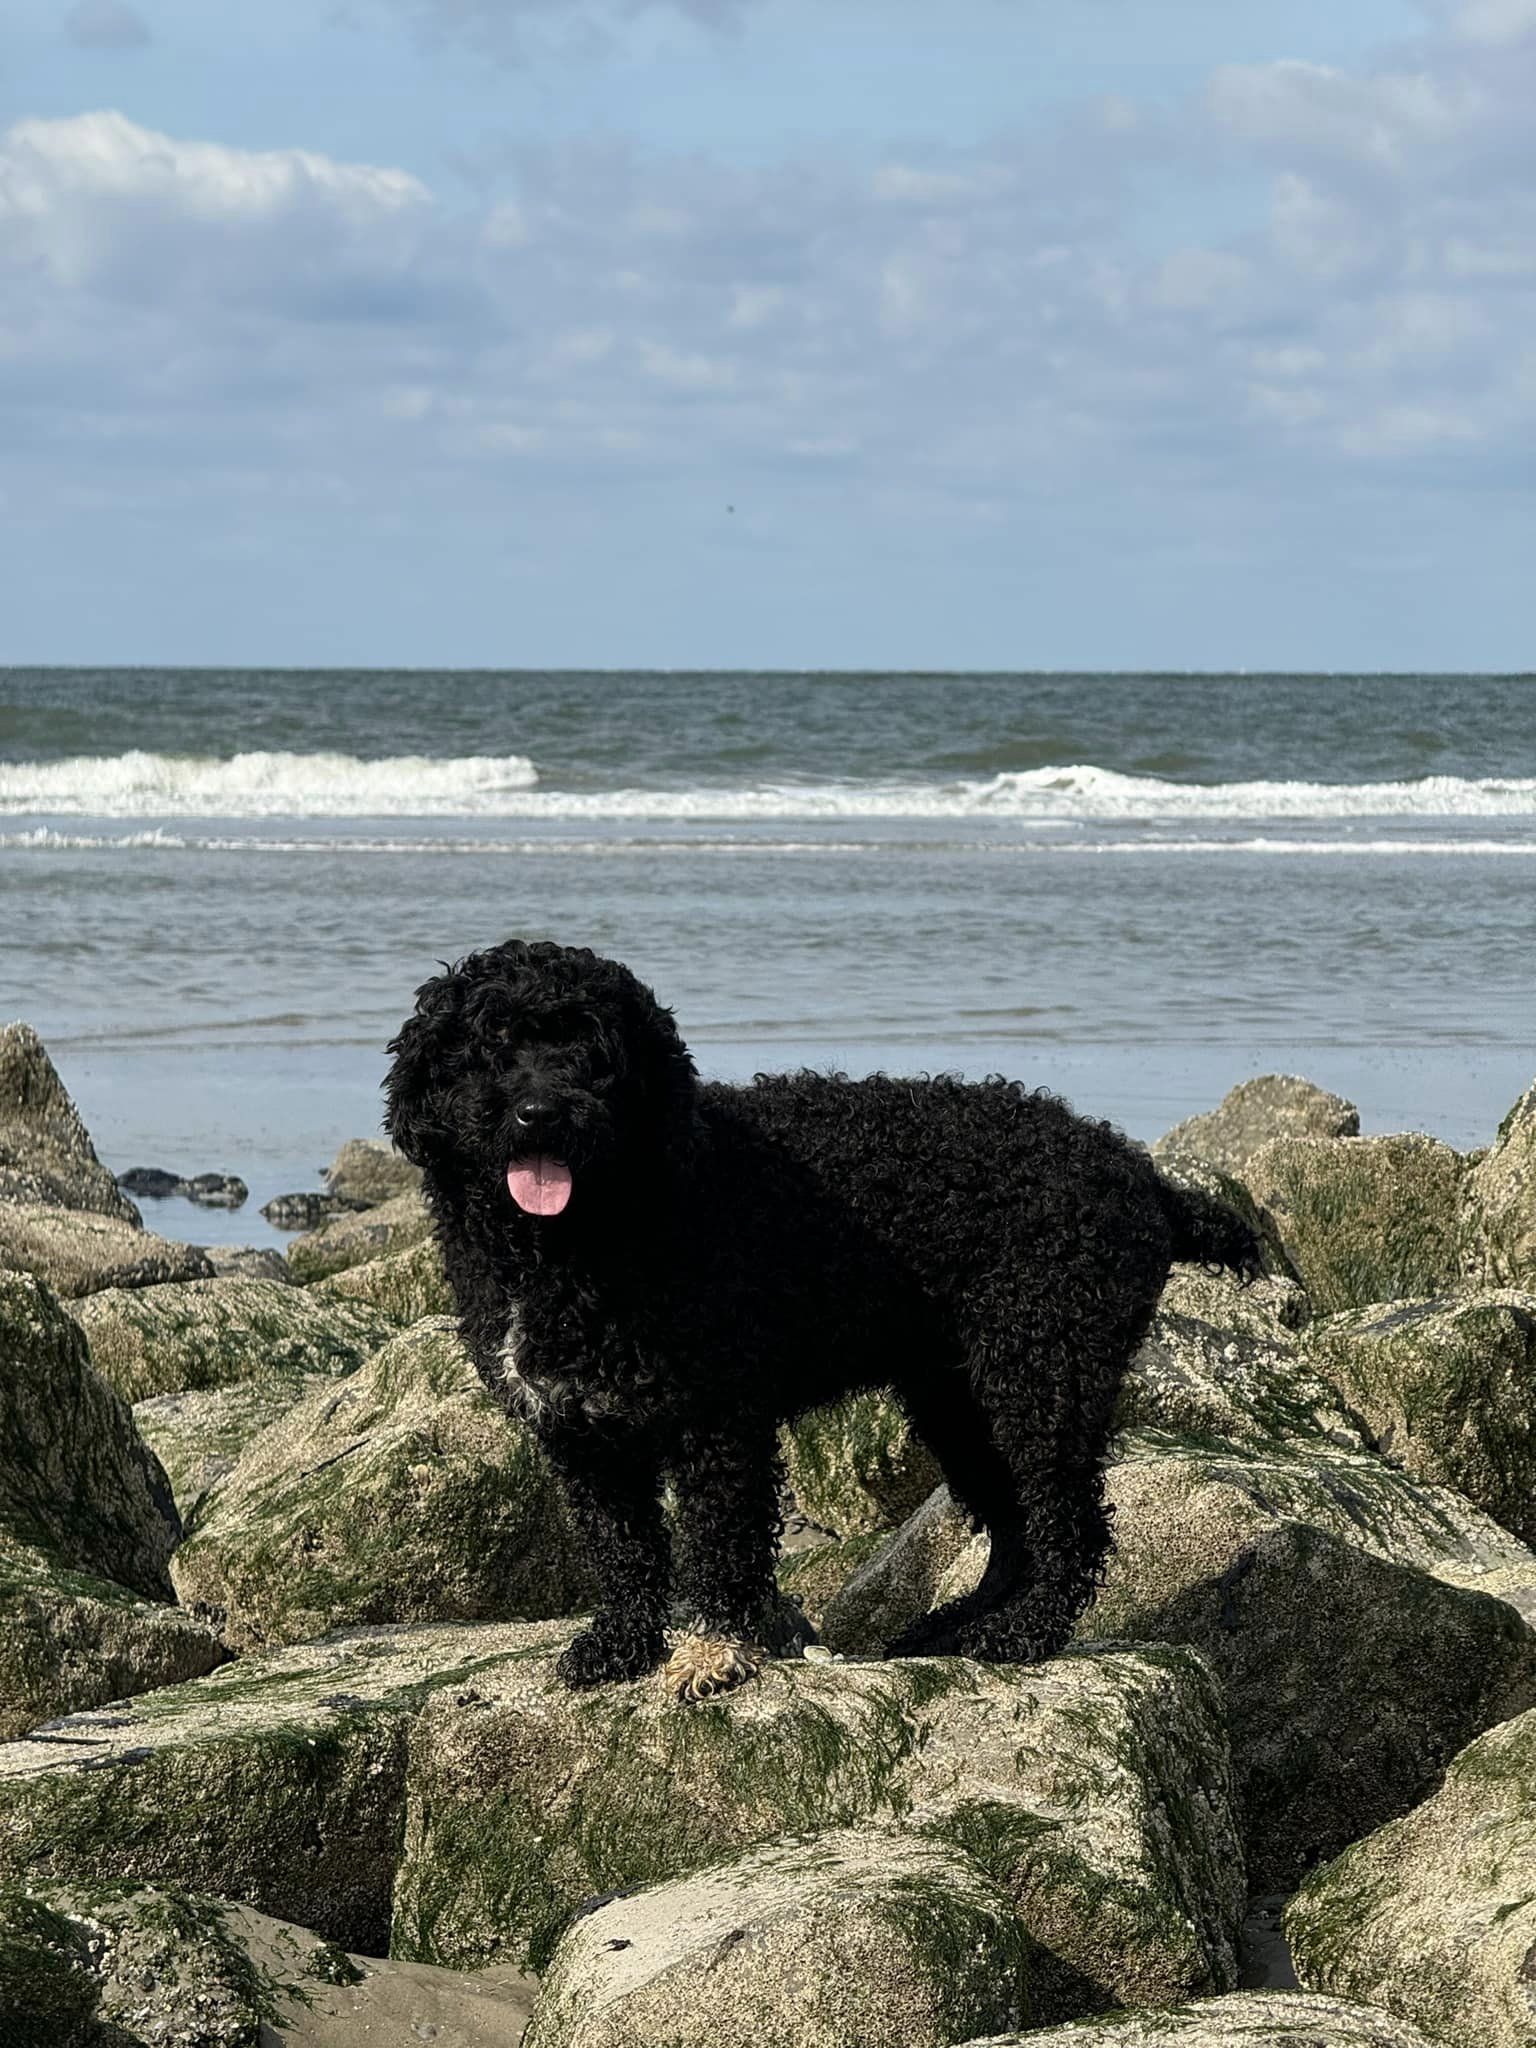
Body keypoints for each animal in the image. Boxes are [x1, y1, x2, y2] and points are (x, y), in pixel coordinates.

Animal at [385, 937, 1261, 1687]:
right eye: (491, 1045)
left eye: (596, 1052)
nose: (541, 1113)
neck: (579, 1238)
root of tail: (1144, 1176)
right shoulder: (583, 1435)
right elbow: (623, 1549)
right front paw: (621, 1644)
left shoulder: (717, 1418)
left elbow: (721, 1545)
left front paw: (715, 1653)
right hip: (960, 1396)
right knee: (1014, 1527)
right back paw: (955, 1626)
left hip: (1044, 1375)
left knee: (1069, 1526)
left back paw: (1024, 1636)